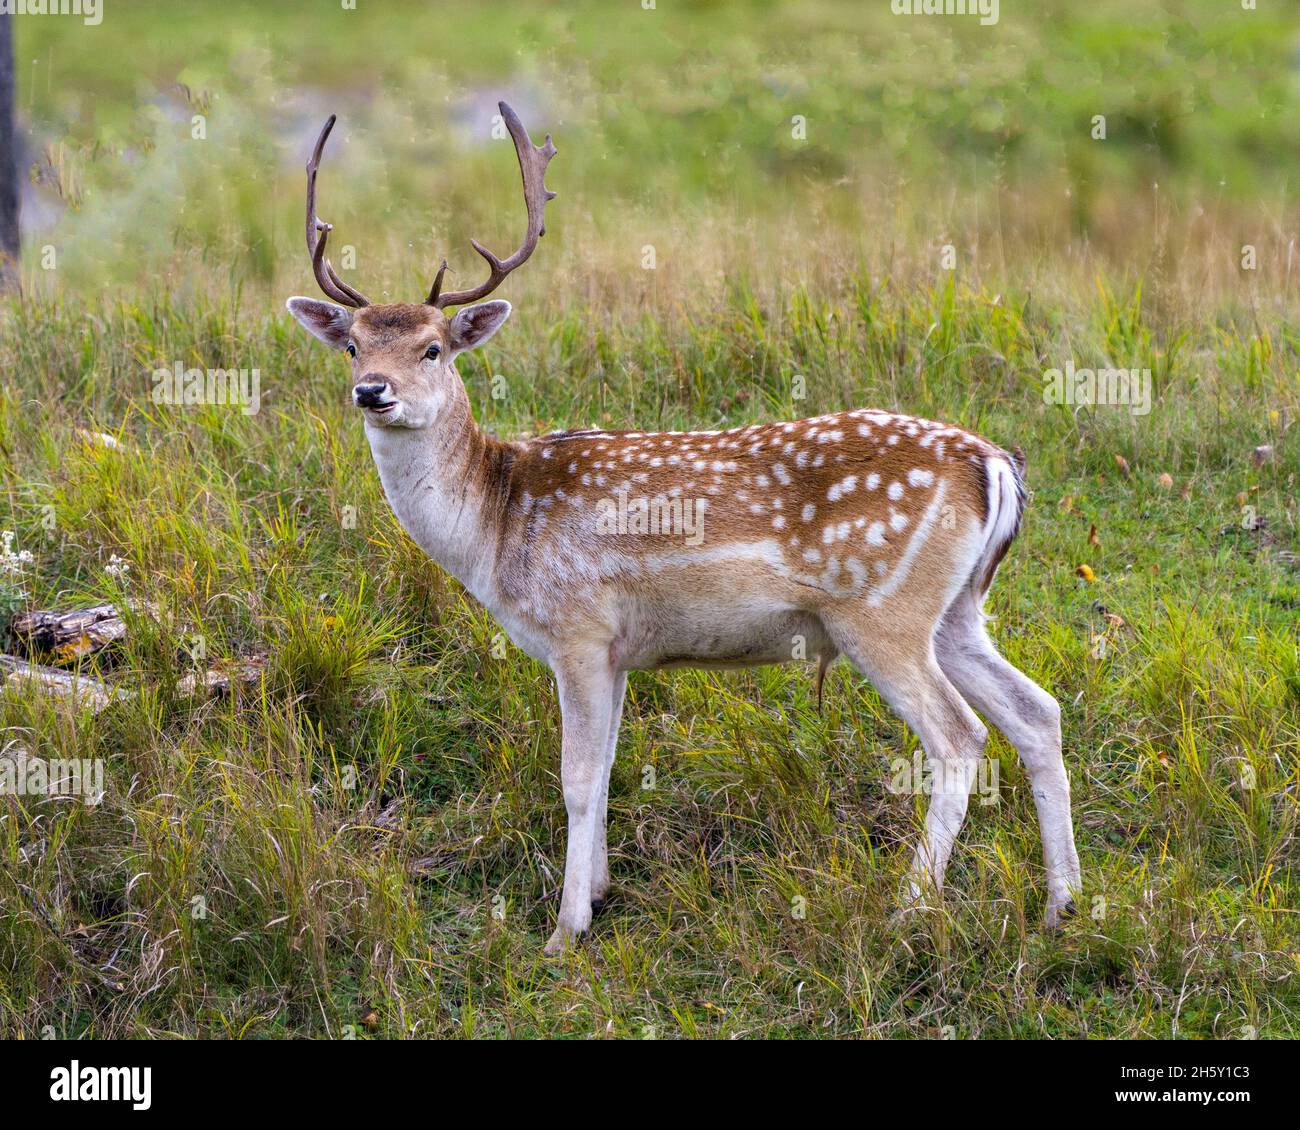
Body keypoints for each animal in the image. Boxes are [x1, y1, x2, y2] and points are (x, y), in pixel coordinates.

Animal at [285, 102, 1082, 954]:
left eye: (433, 347)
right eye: (354, 344)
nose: (373, 391)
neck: (496, 524)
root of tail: (994, 465)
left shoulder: (578, 629)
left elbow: (575, 778)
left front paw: (563, 931)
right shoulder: (619, 651)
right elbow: (605, 769)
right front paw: (600, 891)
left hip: (881, 610)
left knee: (959, 738)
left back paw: (910, 904)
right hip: (959, 609)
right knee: (1038, 713)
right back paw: (1061, 905)